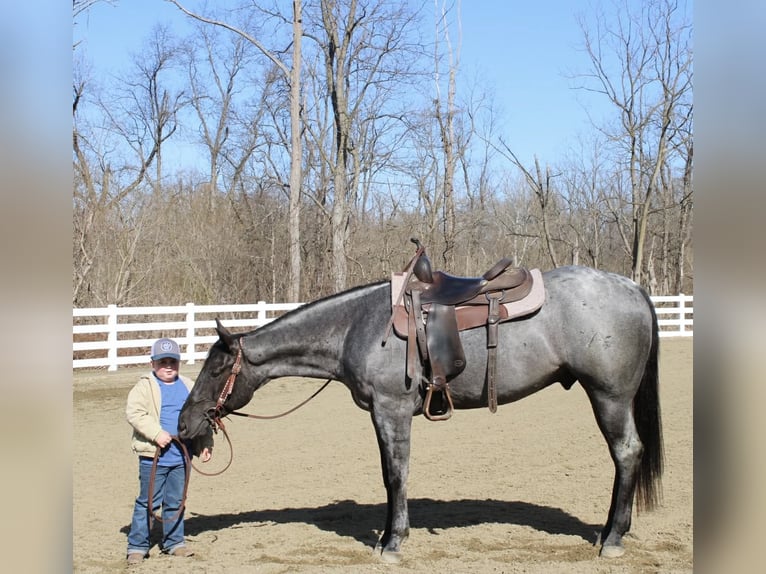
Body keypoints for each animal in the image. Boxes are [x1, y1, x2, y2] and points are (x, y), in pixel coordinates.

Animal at [178, 265, 663, 562]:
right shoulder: (381, 414)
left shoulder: (391, 410)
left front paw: (393, 543)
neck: (356, 326)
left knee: (626, 453)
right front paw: (388, 536)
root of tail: (633, 288)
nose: (184, 424)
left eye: (216, 368)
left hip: (609, 396)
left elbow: (397, 475)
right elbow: (388, 476)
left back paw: (612, 538)